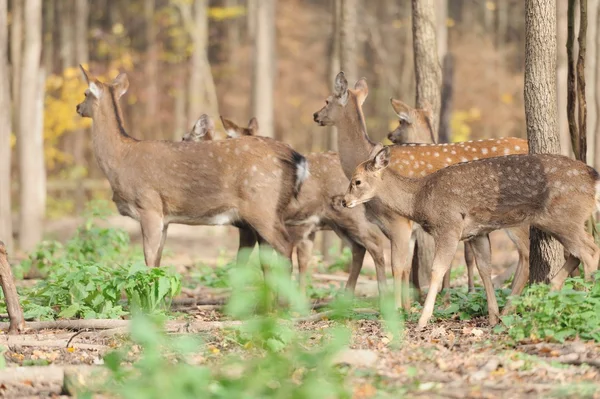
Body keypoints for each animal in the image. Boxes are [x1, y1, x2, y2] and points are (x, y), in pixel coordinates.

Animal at [74, 68, 310, 276]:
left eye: (85, 93)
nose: (77, 107)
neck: (120, 160)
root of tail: (294, 156)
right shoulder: (165, 217)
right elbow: (157, 262)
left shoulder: (149, 205)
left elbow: (148, 260)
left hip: (261, 206)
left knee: (286, 247)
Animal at [184, 115, 390, 296]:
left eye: (185, 138)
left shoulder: (250, 227)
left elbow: (249, 262)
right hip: (335, 222)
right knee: (358, 248)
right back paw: (347, 296)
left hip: (351, 215)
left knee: (375, 243)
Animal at [342, 145, 600, 330]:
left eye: (357, 181)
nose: (344, 201)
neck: (420, 199)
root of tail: (593, 178)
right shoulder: (478, 233)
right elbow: (484, 268)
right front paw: (493, 317)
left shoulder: (449, 225)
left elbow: (438, 269)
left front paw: (422, 319)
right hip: (559, 221)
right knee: (575, 253)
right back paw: (552, 290)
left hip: (563, 216)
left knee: (589, 250)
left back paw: (587, 301)